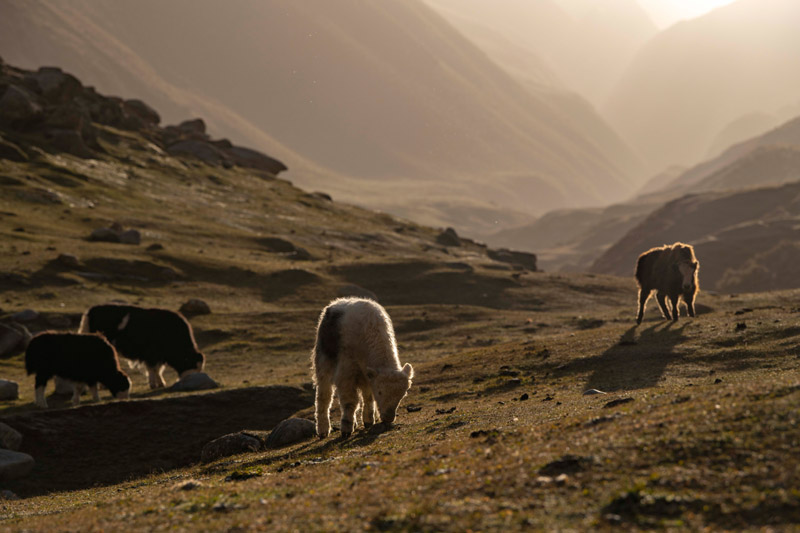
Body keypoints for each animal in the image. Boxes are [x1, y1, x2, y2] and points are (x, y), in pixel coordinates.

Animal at [310, 296, 416, 436]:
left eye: (402, 395)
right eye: (380, 392)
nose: (388, 418)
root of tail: (334, 304)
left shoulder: (367, 375)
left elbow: (368, 396)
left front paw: (368, 421)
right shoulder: (346, 372)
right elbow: (350, 401)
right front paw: (346, 428)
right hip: (323, 361)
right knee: (324, 395)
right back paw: (323, 430)